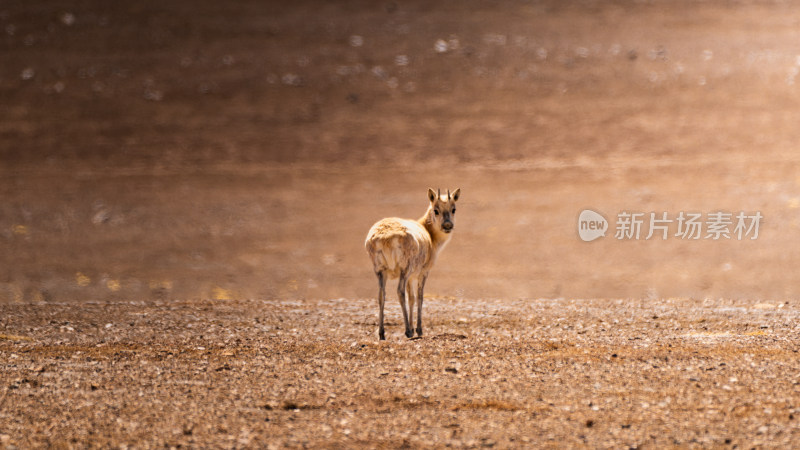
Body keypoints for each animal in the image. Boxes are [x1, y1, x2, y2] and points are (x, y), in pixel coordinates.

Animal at [364, 188, 460, 340]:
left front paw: (414, 328)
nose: (447, 225)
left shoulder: (410, 278)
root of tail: (384, 237)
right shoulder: (423, 272)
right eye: (436, 210)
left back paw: (382, 333)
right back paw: (407, 331)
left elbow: (412, 298)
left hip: (380, 270)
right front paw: (418, 329)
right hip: (404, 269)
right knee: (399, 291)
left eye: (454, 209)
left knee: (381, 294)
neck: (429, 234)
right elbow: (420, 297)